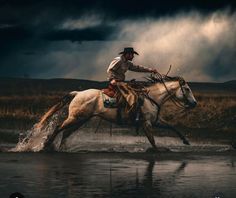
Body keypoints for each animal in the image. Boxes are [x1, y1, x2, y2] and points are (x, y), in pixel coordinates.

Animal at [37, 75, 196, 151]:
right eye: (187, 89)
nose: (194, 103)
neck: (152, 97)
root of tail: (78, 93)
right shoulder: (146, 123)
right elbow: (152, 140)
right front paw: (157, 150)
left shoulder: (155, 121)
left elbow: (172, 127)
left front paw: (186, 141)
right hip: (75, 118)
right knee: (58, 128)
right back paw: (46, 145)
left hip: (80, 120)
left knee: (65, 133)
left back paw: (61, 148)